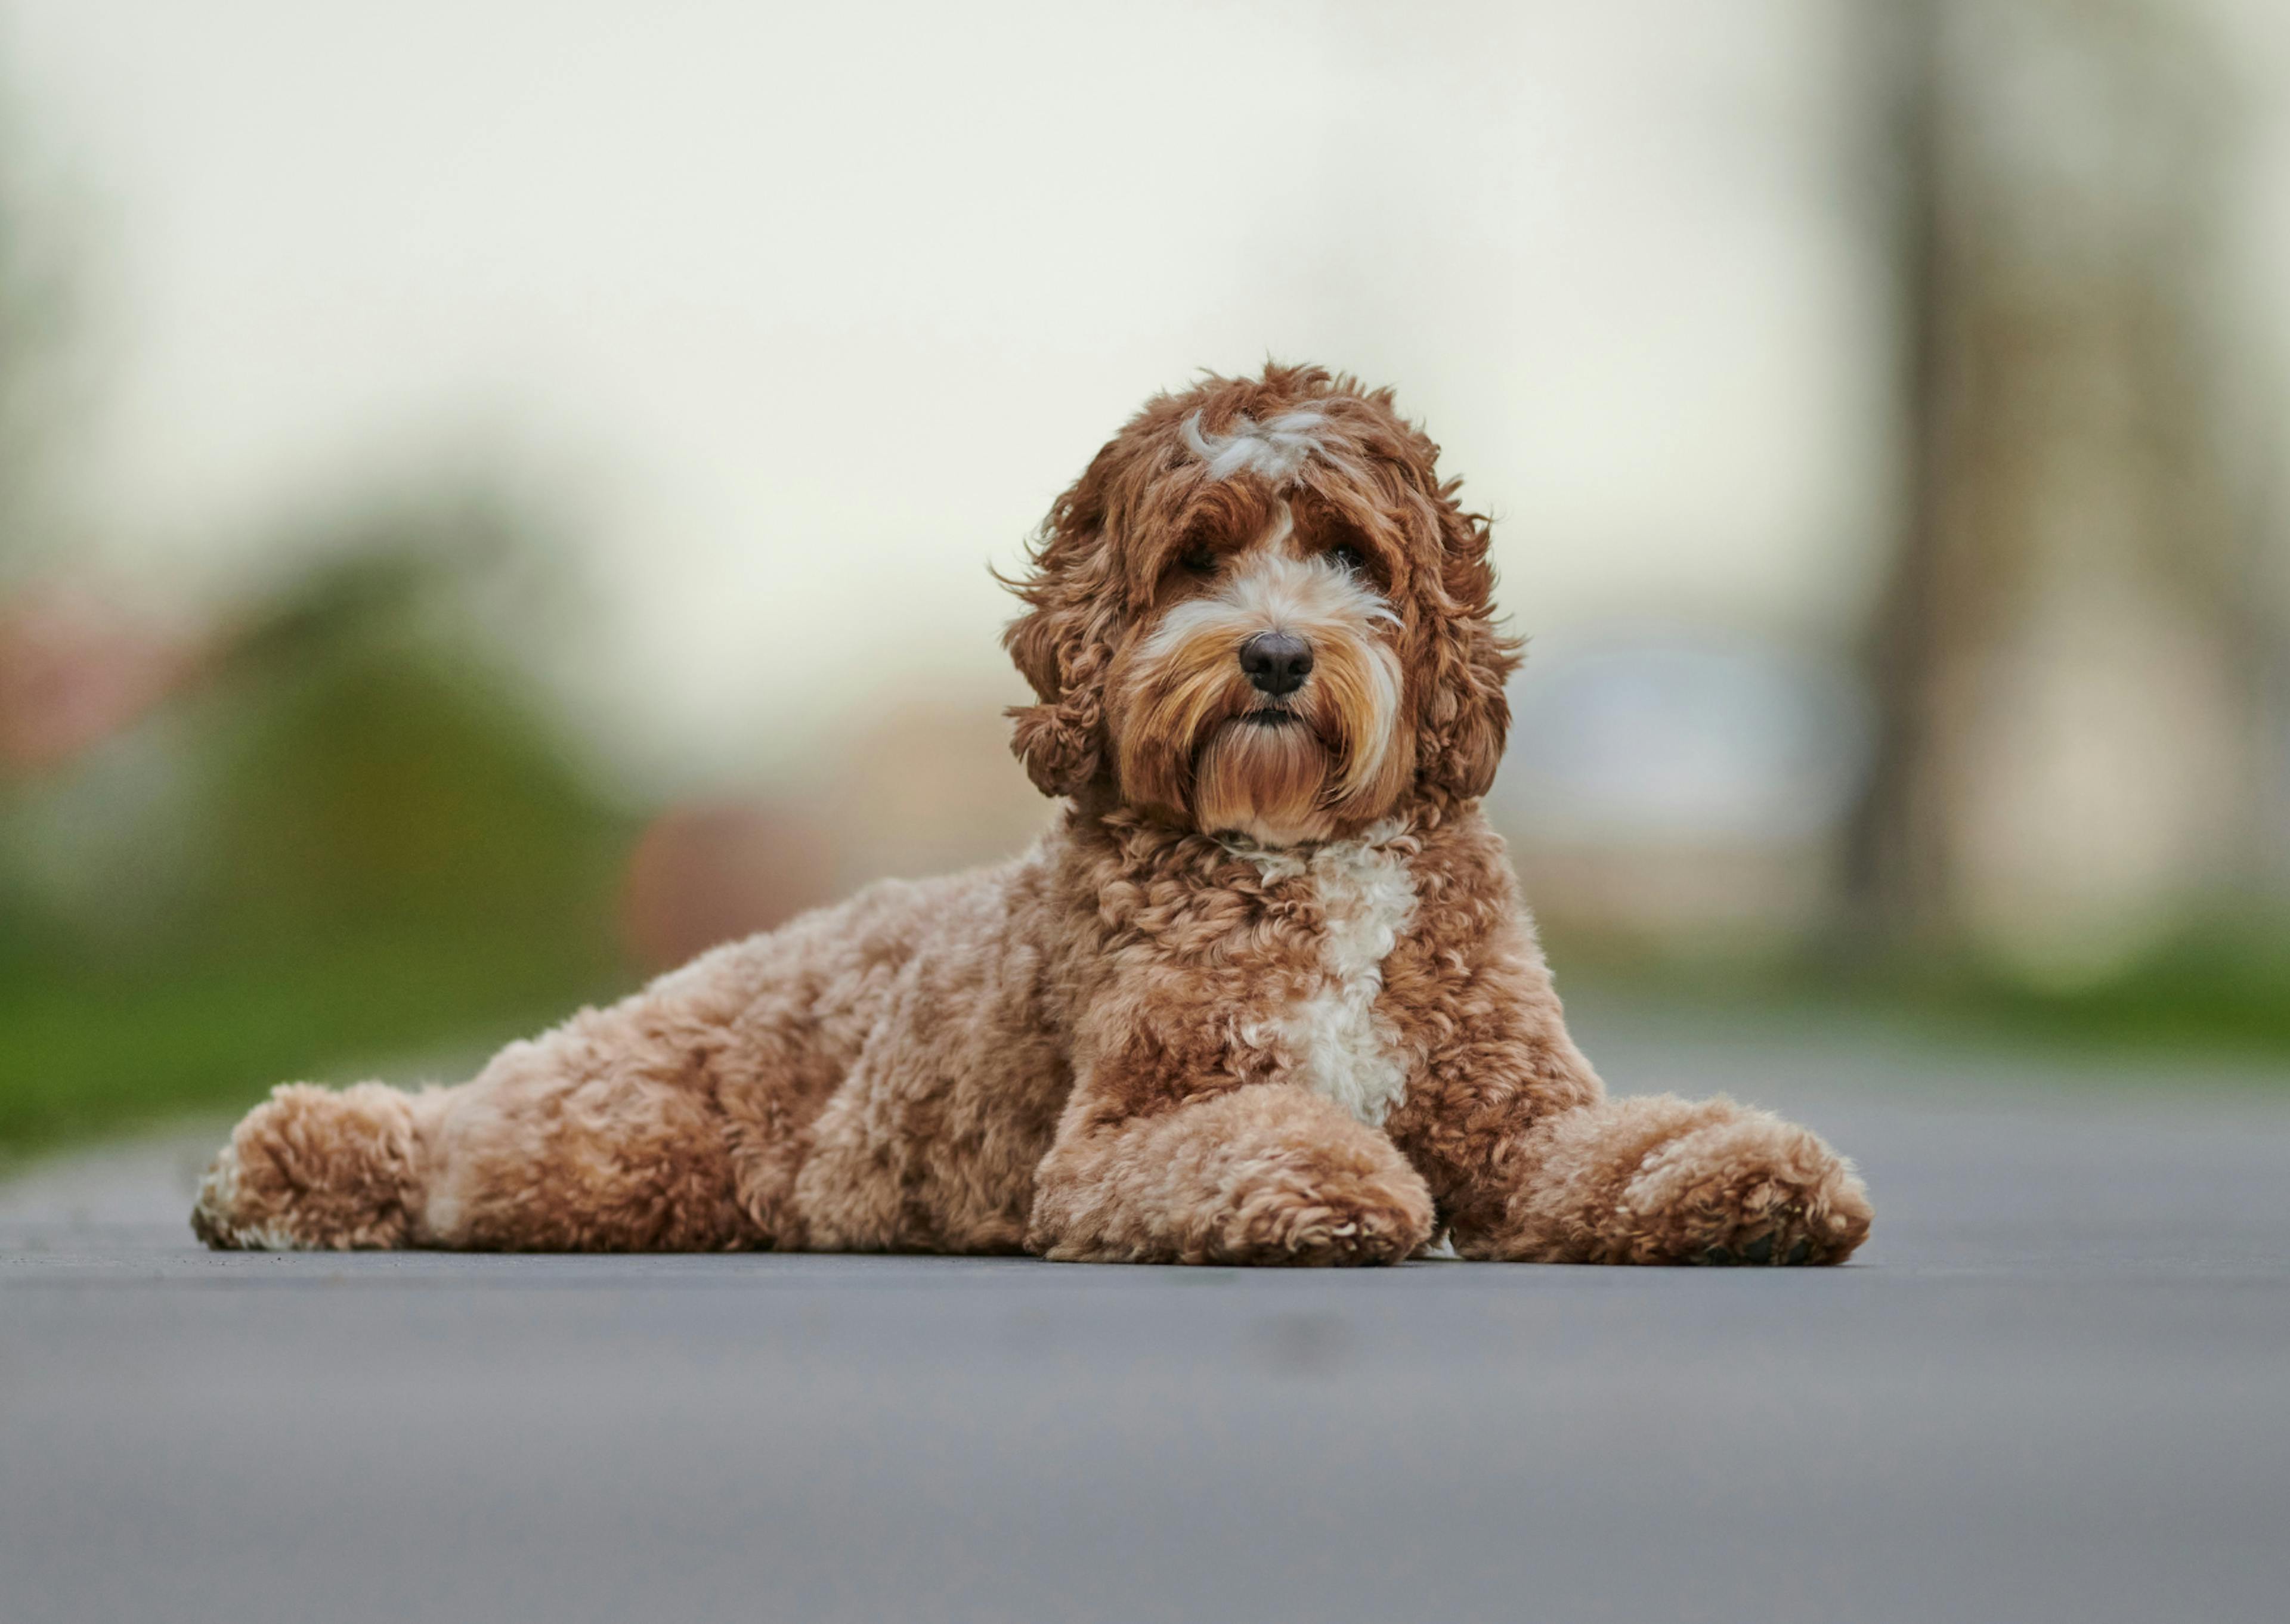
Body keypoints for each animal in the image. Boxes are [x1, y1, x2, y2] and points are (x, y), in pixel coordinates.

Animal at [197, 366, 1868, 1264]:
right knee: (446, 1142)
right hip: (602, 1147)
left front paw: (1751, 1184)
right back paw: (275, 1167)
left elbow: (1625, 1145)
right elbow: (1257, 1137)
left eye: (1351, 552)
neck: (1297, 858)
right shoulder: (1128, 1130)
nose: (1275, 655)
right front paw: (1331, 1186)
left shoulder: (1514, 1110)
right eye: (1194, 557)